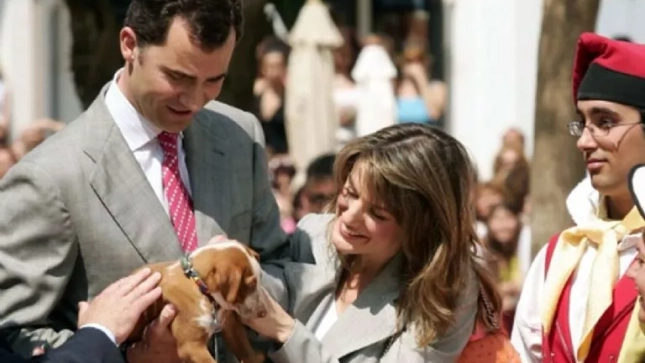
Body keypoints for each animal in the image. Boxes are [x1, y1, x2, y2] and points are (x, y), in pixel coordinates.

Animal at [124, 239, 266, 363]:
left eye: (260, 279)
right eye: (250, 285)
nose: (264, 313)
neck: (197, 282)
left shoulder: (229, 323)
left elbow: (245, 347)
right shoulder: (191, 346)